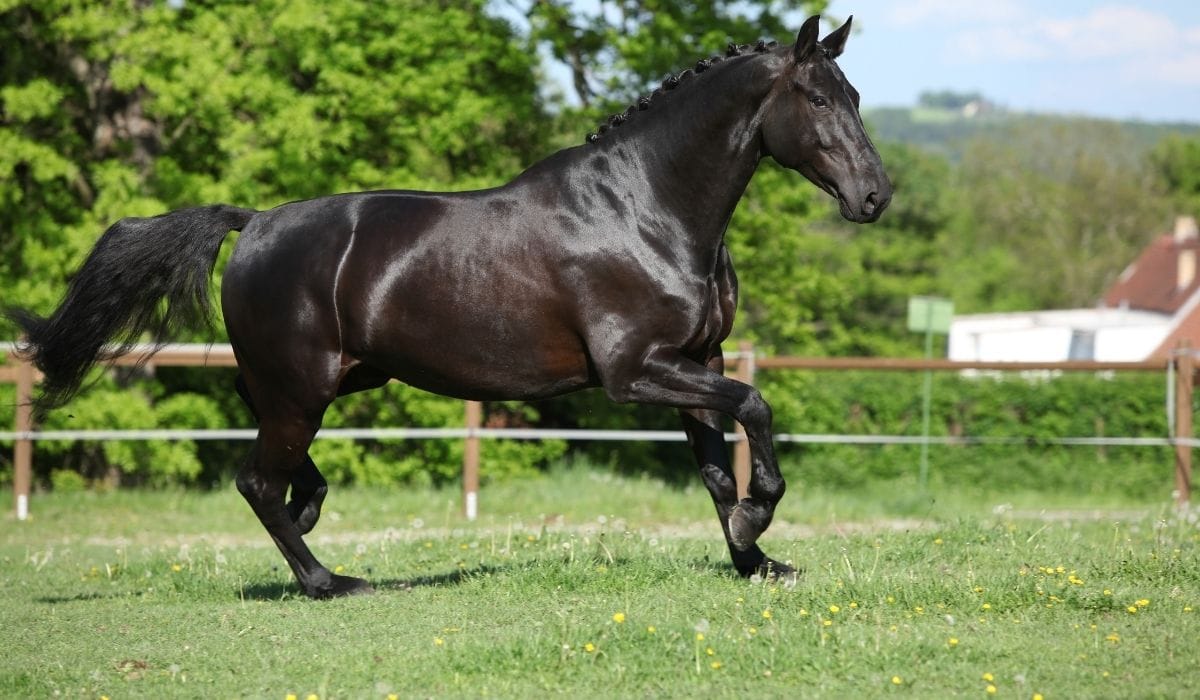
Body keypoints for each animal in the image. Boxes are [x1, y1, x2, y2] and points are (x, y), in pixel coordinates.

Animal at [7, 15, 890, 598]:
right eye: (816, 98)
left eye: (854, 93)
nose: (876, 197)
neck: (646, 209)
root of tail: (252, 222)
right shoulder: (636, 371)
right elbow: (756, 406)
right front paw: (757, 521)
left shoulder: (694, 361)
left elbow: (713, 466)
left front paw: (755, 558)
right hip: (304, 385)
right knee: (257, 480)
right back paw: (331, 579)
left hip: (332, 379)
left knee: (272, 459)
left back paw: (312, 512)